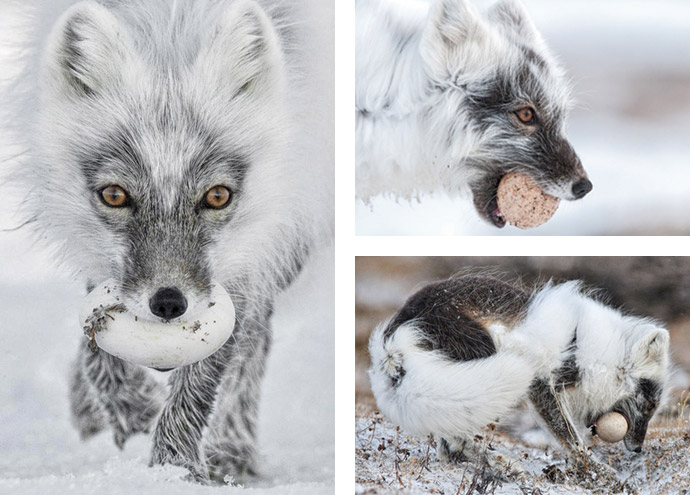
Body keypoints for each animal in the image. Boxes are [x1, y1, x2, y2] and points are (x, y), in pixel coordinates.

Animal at [3, 0, 330, 484]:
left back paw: (231, 449)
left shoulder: (251, 253)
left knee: (256, 340)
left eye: (217, 196)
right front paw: (131, 407)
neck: (171, 24)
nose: (169, 303)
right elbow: (96, 341)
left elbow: (208, 374)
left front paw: (174, 468)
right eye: (115, 195)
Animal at [368, 276, 668, 480]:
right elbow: (570, 437)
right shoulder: (542, 383)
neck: (589, 350)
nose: (638, 449)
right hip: (484, 365)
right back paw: (505, 465)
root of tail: (393, 337)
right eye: (650, 405)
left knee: (448, 443)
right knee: (456, 439)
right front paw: (597, 472)